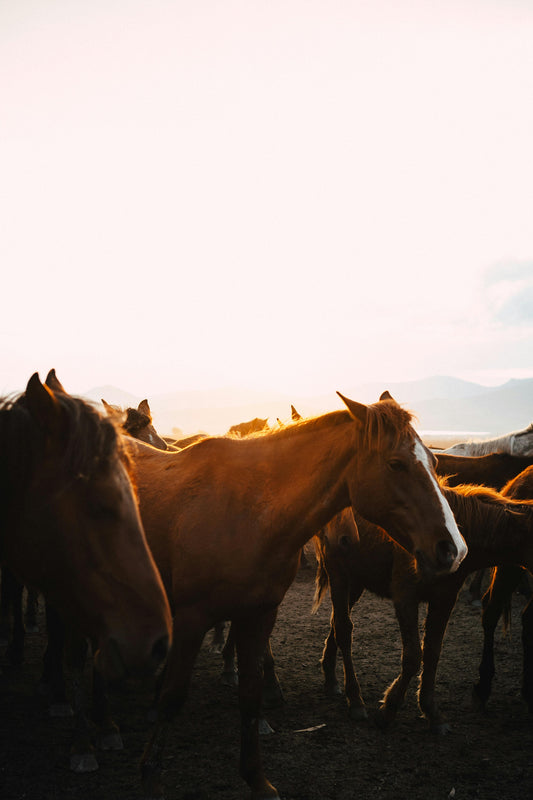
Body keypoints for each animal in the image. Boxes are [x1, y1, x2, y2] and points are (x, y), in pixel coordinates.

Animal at [128, 390, 467, 800]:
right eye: (396, 463)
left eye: (435, 461)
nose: (454, 550)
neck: (246, 512)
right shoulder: (193, 618)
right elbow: (173, 697)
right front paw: (149, 772)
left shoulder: (259, 615)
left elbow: (250, 695)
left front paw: (257, 779)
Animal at [314, 478, 533, 734]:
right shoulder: (405, 597)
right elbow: (412, 656)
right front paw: (389, 710)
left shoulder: (444, 600)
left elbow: (432, 653)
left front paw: (431, 712)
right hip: (338, 571)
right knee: (344, 628)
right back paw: (355, 700)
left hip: (357, 580)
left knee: (336, 624)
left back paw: (330, 677)